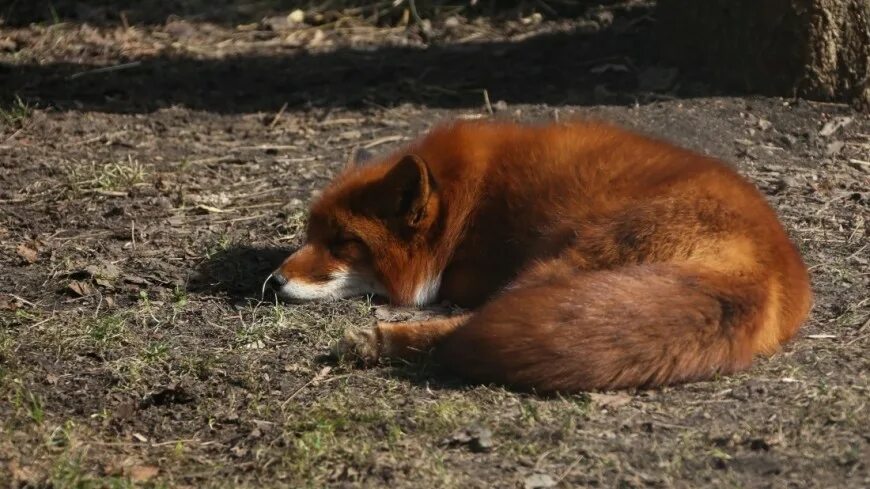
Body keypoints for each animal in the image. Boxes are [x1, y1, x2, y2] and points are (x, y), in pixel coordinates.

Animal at [266, 120, 812, 394]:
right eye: (310, 234)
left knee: (465, 328)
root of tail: (765, 270)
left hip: (563, 261)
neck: (467, 199)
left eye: (343, 243)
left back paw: (375, 341)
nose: (272, 282)